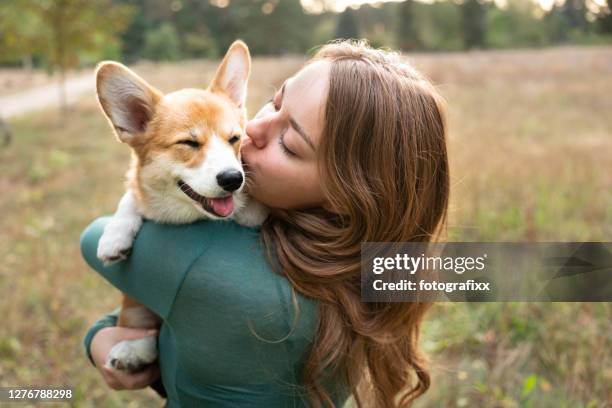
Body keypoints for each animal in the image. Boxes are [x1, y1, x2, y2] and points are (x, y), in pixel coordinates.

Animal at [93, 39, 268, 372]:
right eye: (189, 143)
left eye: (234, 139)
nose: (233, 179)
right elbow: (132, 196)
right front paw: (114, 237)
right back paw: (132, 351)